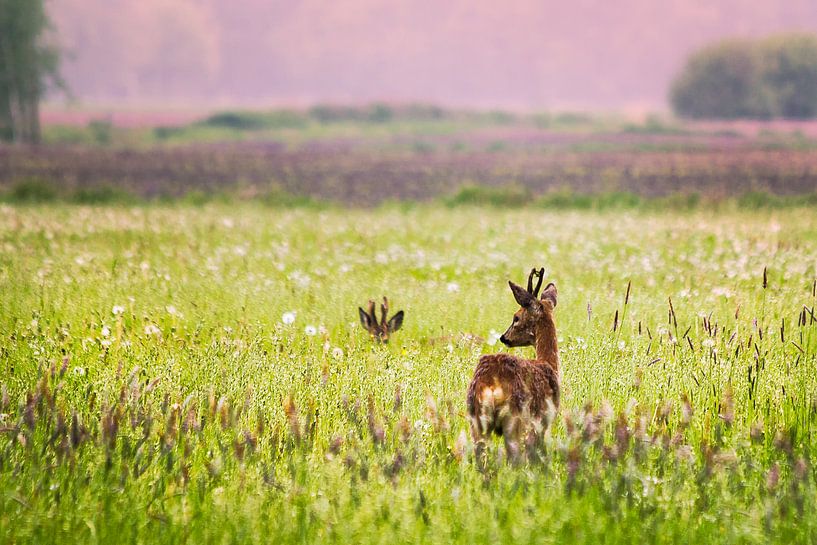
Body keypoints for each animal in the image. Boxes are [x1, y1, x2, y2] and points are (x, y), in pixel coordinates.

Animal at [468, 268, 556, 464]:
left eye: (516, 318)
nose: (503, 337)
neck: (549, 364)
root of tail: (491, 384)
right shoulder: (544, 419)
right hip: (515, 419)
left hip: (476, 418)